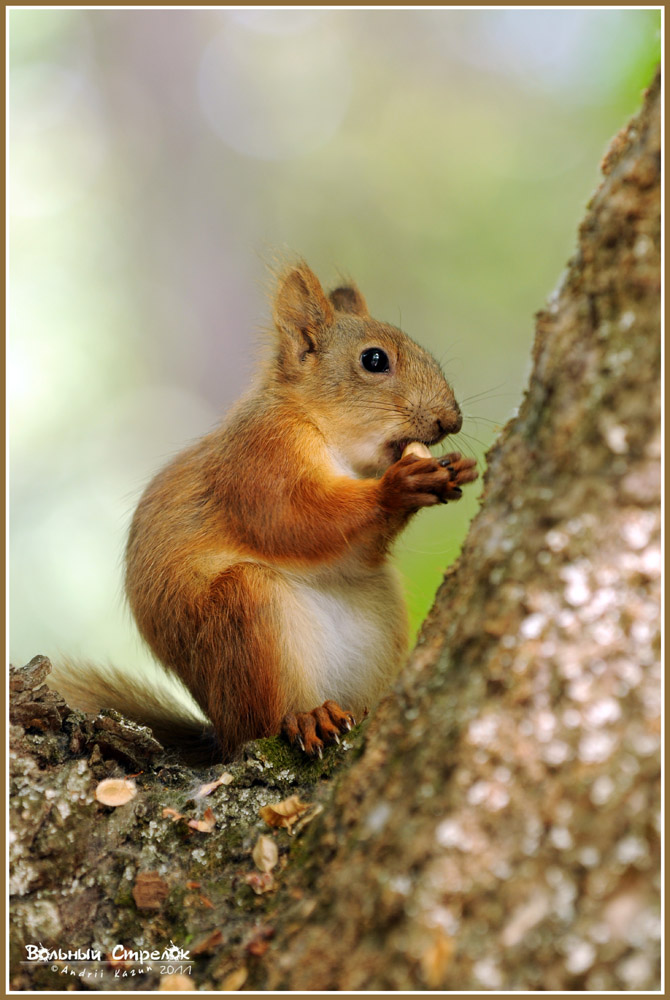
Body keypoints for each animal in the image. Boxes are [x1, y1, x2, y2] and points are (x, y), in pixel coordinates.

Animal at [53, 262, 484, 760]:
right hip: (246, 614)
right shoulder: (260, 456)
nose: (451, 420)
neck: (325, 431)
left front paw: (456, 467)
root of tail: (220, 732)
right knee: (263, 720)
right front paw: (398, 487)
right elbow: (291, 520)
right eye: (374, 360)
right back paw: (305, 717)